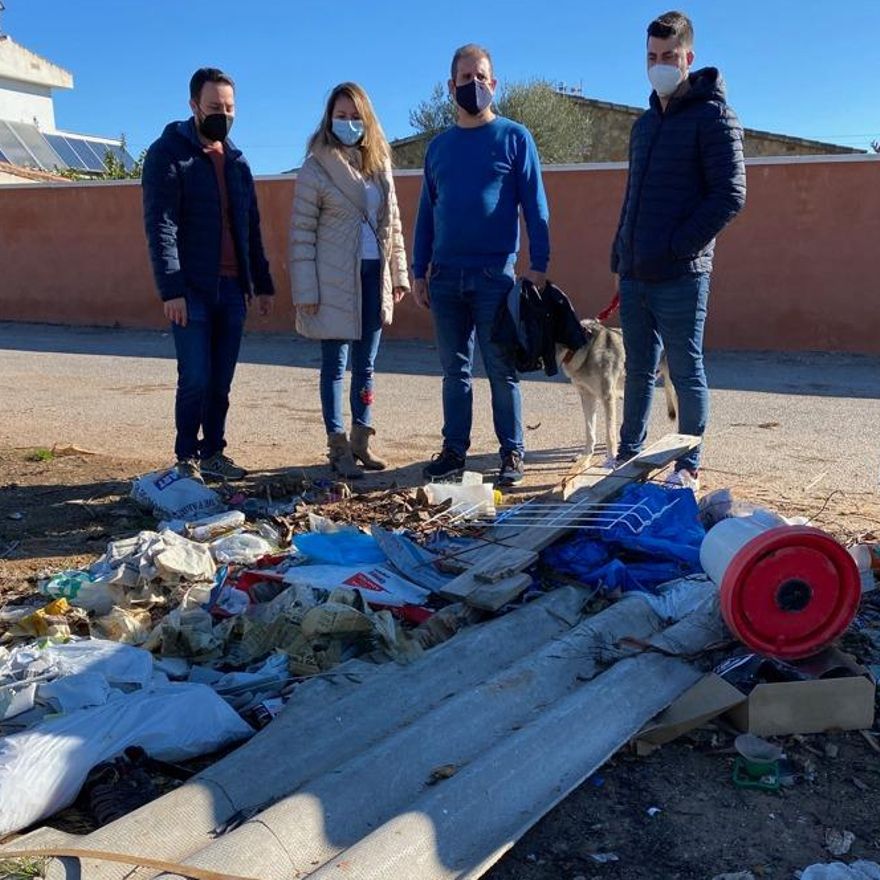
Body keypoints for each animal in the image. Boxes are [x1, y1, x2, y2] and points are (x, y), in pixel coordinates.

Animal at [560, 320, 676, 464]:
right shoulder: (587, 396)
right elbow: (590, 431)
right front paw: (586, 455)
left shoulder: (607, 397)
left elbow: (610, 434)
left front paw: (611, 458)